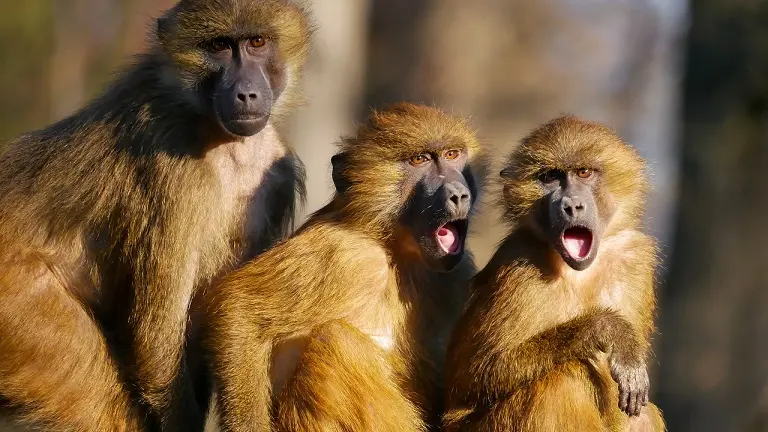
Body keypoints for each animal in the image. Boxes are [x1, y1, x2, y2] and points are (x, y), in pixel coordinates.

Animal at [0, 1, 311, 430]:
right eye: (219, 46)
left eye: (257, 42)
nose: (246, 93)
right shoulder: (174, 171)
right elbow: (156, 338)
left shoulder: (277, 178)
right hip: (20, 307)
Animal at [203, 103, 487, 432]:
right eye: (419, 160)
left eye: (452, 154)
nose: (458, 194)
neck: (394, 250)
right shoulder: (344, 253)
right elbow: (238, 309)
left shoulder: (457, 271)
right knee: (336, 340)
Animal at [442, 115, 666, 432]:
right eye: (550, 177)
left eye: (584, 172)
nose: (571, 205)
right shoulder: (519, 265)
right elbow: (475, 374)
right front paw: (609, 330)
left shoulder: (634, 258)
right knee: (561, 382)